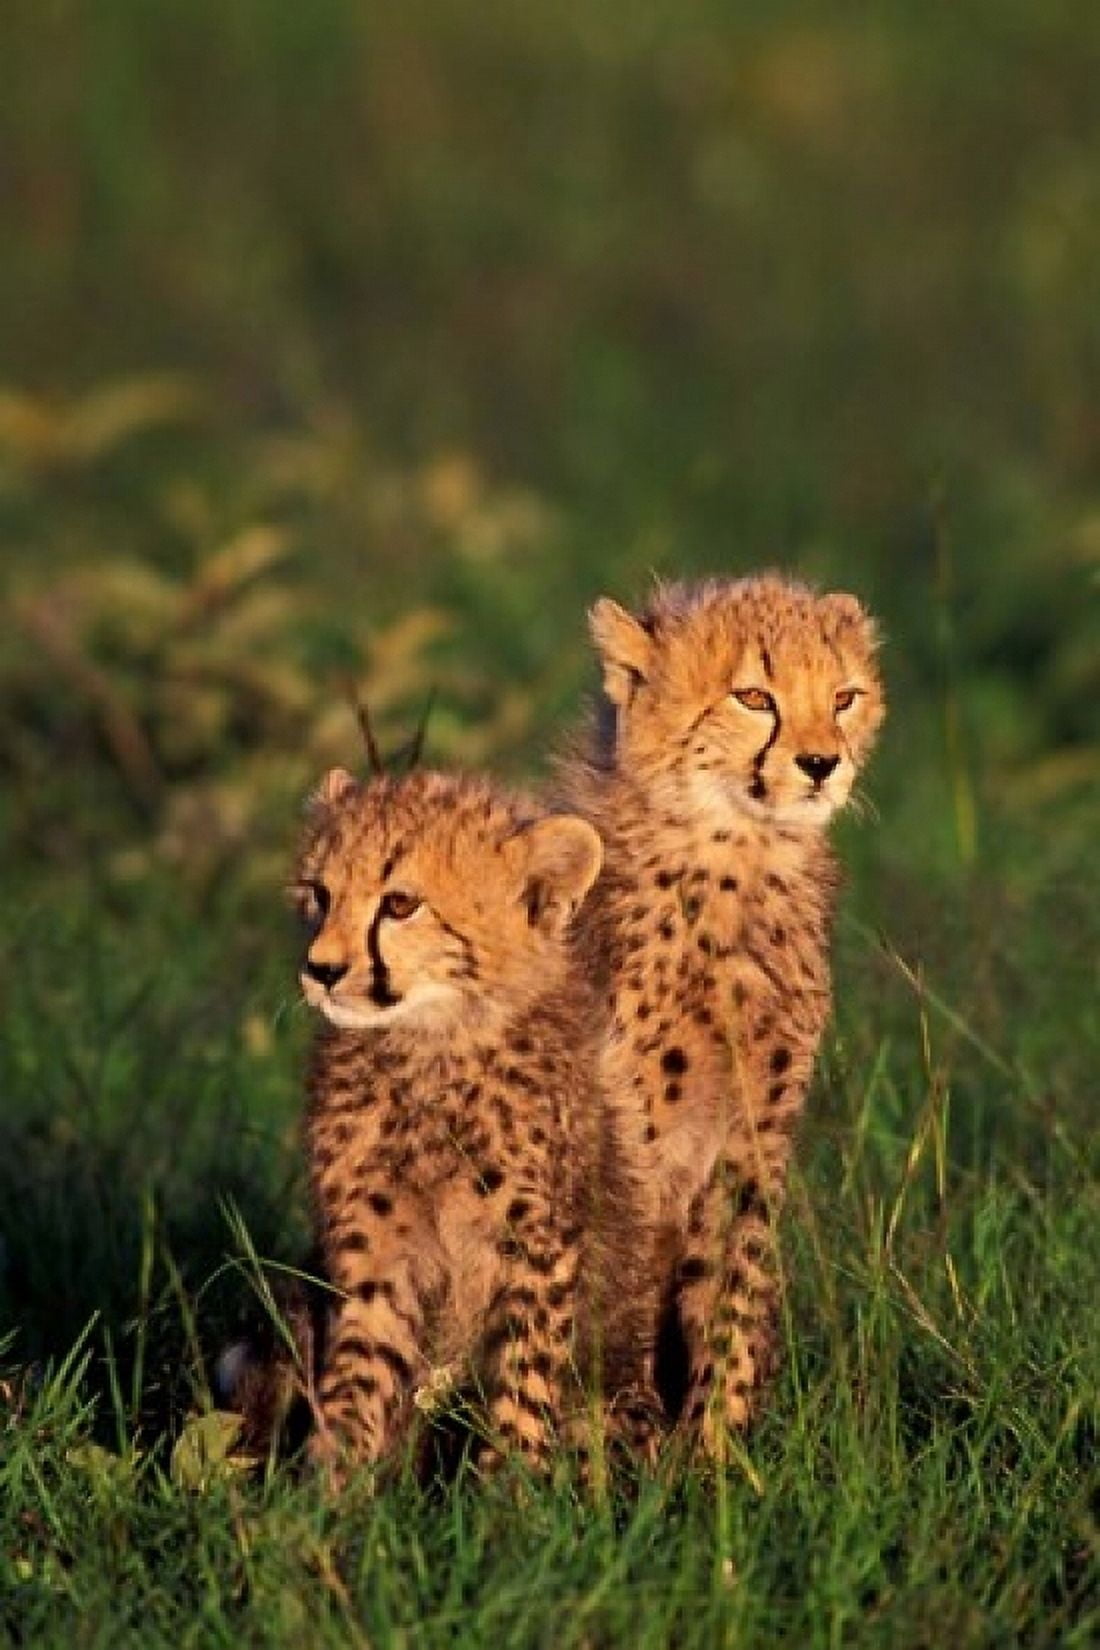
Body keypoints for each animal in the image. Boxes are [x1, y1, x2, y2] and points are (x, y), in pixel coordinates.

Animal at [287, 764, 649, 1482]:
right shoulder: (376, 1243)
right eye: (319, 892)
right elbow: (361, 1367)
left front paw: (513, 1491)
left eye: (400, 905)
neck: (431, 1046)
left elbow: (524, 1373)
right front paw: (330, 1483)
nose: (321, 970)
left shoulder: (537, 1241)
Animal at [559, 572, 884, 1459]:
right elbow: (627, 1277)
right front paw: (621, 1444)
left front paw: (719, 1449)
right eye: (754, 697)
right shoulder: (630, 1133)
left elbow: (733, 1277)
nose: (821, 763)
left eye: (843, 696)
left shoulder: (756, 1128)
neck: (740, 856)